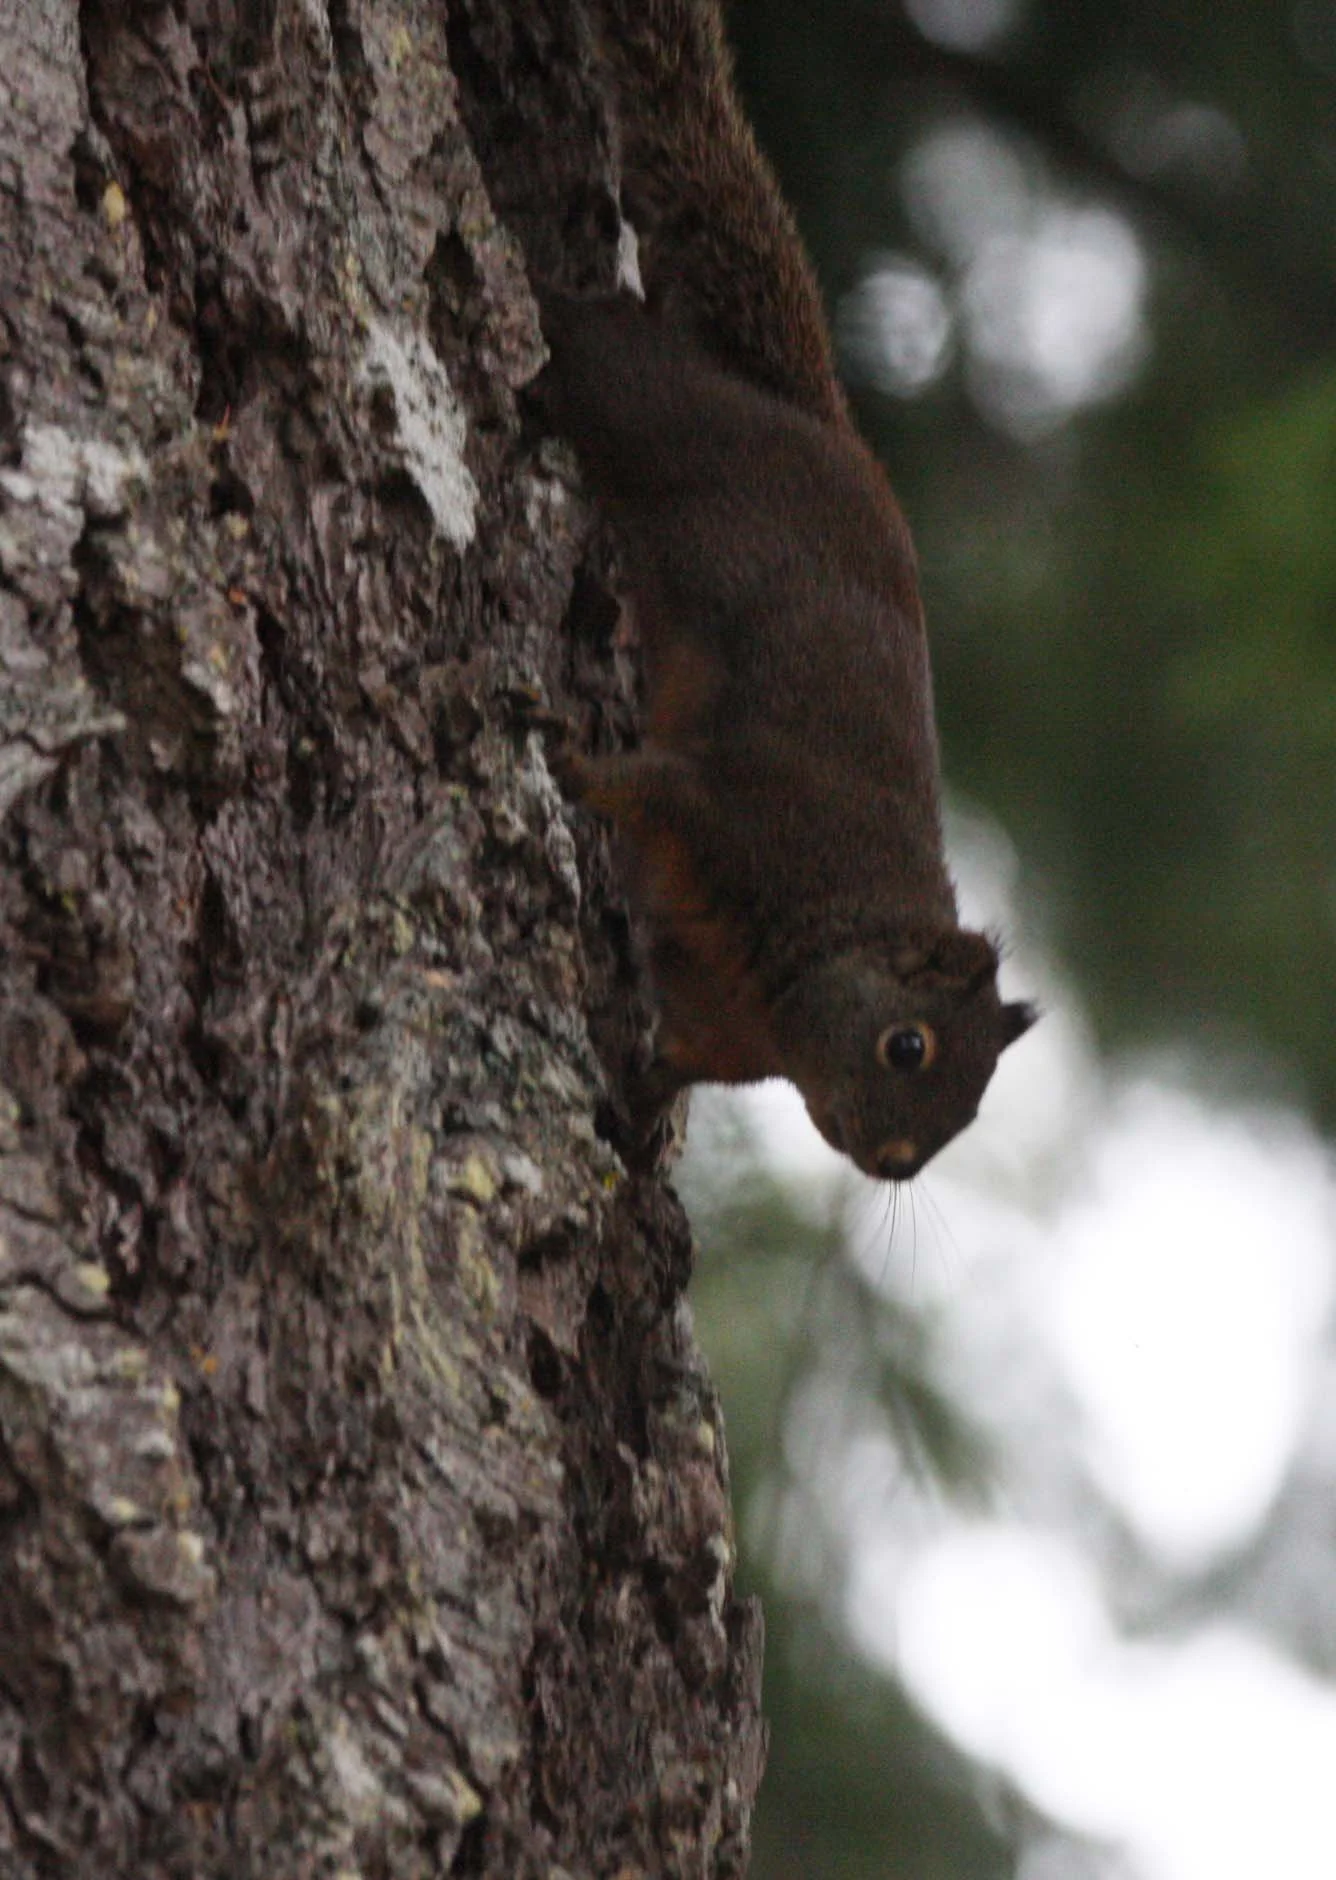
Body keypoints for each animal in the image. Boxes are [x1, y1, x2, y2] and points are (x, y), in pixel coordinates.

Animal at [542, 0, 1035, 1182]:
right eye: (909, 1046)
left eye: (971, 1108)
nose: (896, 1161)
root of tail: (820, 420)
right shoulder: (739, 815)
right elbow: (649, 783)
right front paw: (572, 764)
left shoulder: (717, 1033)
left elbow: (665, 1066)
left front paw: (633, 1122)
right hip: (663, 423)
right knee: (598, 348)